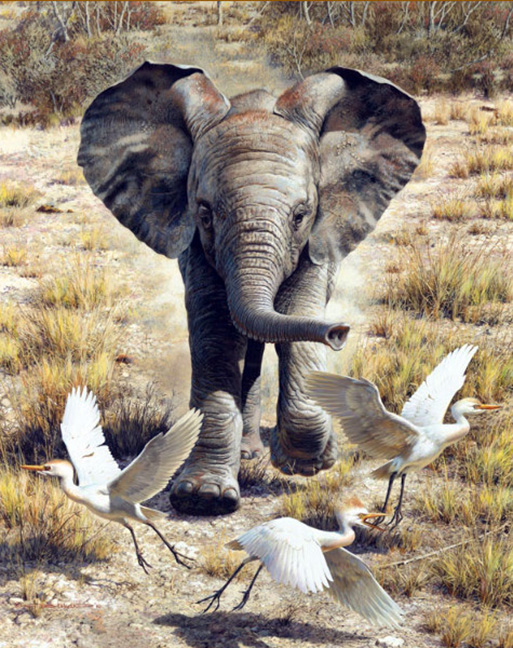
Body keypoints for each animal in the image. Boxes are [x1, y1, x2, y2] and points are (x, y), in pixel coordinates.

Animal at [78, 62, 425, 515]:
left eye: (300, 215)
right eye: (204, 213)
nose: (338, 332)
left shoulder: (317, 240)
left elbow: (296, 313)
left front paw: (309, 463)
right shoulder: (195, 245)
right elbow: (215, 333)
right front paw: (204, 498)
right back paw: (246, 454)